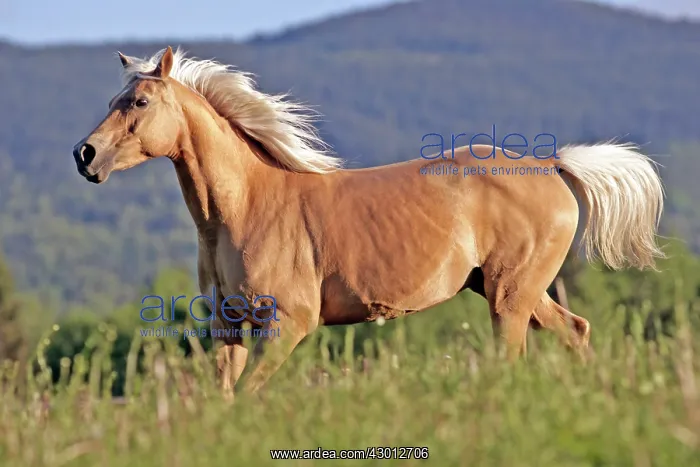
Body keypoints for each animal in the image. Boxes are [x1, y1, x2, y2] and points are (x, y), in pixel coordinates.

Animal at [71, 46, 664, 397]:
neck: (244, 209)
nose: (84, 155)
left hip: (510, 296)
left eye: (139, 101)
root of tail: (551, 164)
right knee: (576, 330)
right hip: (511, 290)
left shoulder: (289, 323)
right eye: (114, 98)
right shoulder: (227, 326)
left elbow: (248, 396)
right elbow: (226, 397)